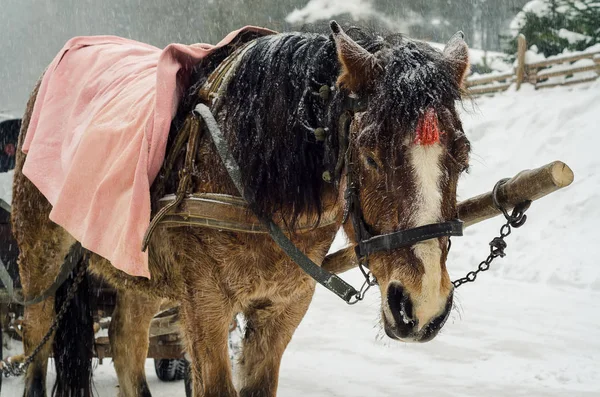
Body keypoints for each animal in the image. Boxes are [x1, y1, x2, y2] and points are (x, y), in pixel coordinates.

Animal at [10, 21, 468, 396]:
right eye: (370, 155)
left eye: (463, 158)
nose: (422, 305)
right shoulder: (205, 307)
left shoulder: (284, 306)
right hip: (40, 254)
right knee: (36, 336)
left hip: (137, 272)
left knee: (125, 343)